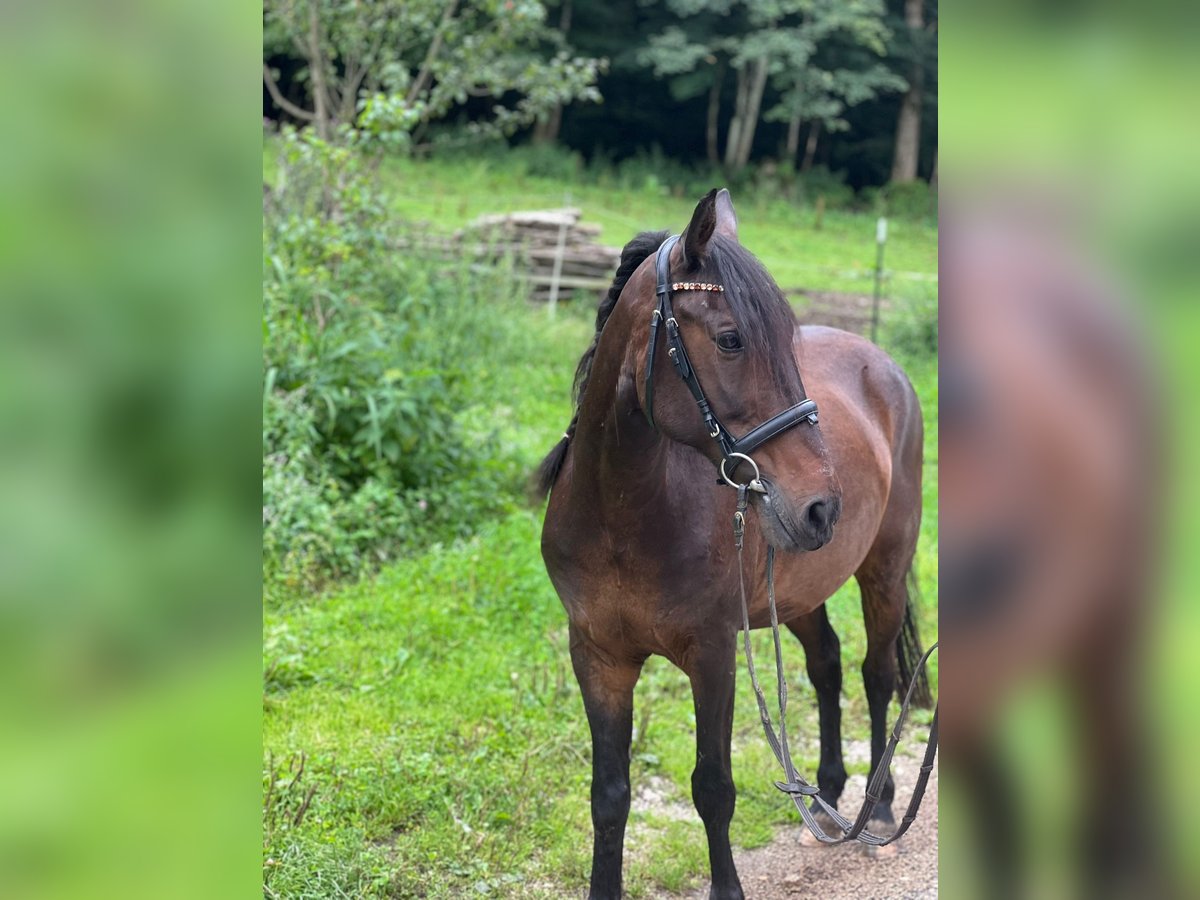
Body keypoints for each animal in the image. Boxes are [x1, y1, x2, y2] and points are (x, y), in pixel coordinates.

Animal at [540, 190, 931, 900]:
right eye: (730, 339)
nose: (821, 506)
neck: (622, 515)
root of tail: (882, 361)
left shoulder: (714, 654)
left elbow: (713, 789)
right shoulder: (597, 657)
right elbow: (609, 796)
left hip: (883, 571)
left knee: (878, 675)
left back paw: (883, 808)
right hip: (798, 588)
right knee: (827, 664)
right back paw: (826, 800)